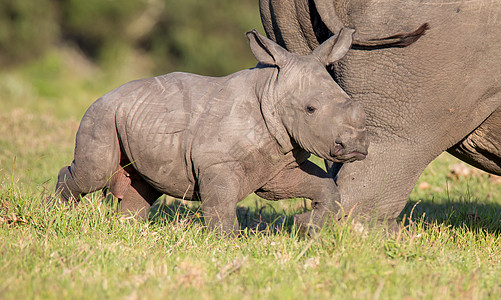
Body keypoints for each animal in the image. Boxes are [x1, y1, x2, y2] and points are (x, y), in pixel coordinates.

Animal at [56, 28, 368, 234]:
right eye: (310, 109)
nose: (355, 146)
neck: (271, 89)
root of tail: (106, 94)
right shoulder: (218, 162)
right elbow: (221, 206)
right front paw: (225, 243)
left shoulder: (279, 164)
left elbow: (324, 186)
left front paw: (308, 227)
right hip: (102, 114)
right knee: (94, 174)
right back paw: (56, 210)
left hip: (136, 117)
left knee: (142, 186)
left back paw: (127, 230)